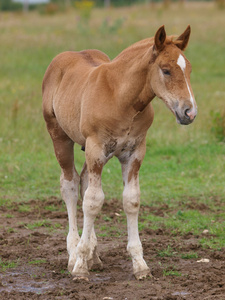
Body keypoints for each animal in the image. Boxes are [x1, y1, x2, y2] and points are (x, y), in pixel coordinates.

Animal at [42, 25, 197, 282]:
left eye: (189, 69)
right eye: (165, 70)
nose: (189, 112)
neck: (120, 98)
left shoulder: (134, 153)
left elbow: (130, 200)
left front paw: (140, 265)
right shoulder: (96, 149)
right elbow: (93, 202)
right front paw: (80, 267)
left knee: (83, 182)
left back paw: (94, 255)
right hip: (60, 137)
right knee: (70, 186)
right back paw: (74, 254)